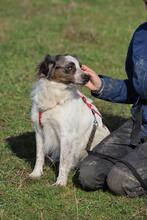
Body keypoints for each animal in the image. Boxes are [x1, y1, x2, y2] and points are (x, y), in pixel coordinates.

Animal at [29, 54, 109, 186]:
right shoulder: (39, 131)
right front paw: (36, 173)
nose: (87, 77)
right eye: (70, 67)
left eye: (80, 66)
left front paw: (60, 182)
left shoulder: (66, 135)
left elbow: (64, 161)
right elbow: (39, 155)